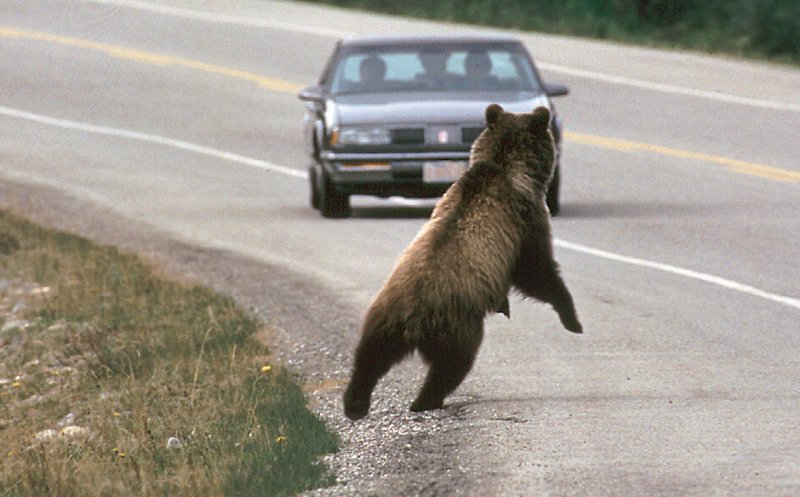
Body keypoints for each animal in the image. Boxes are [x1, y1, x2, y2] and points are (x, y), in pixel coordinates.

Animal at [342, 103, 580, 418]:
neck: (506, 167)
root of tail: (413, 318)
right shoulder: (525, 220)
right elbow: (536, 270)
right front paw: (572, 319)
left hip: (384, 315)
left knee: (370, 355)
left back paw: (355, 402)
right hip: (457, 323)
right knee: (452, 364)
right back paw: (425, 400)